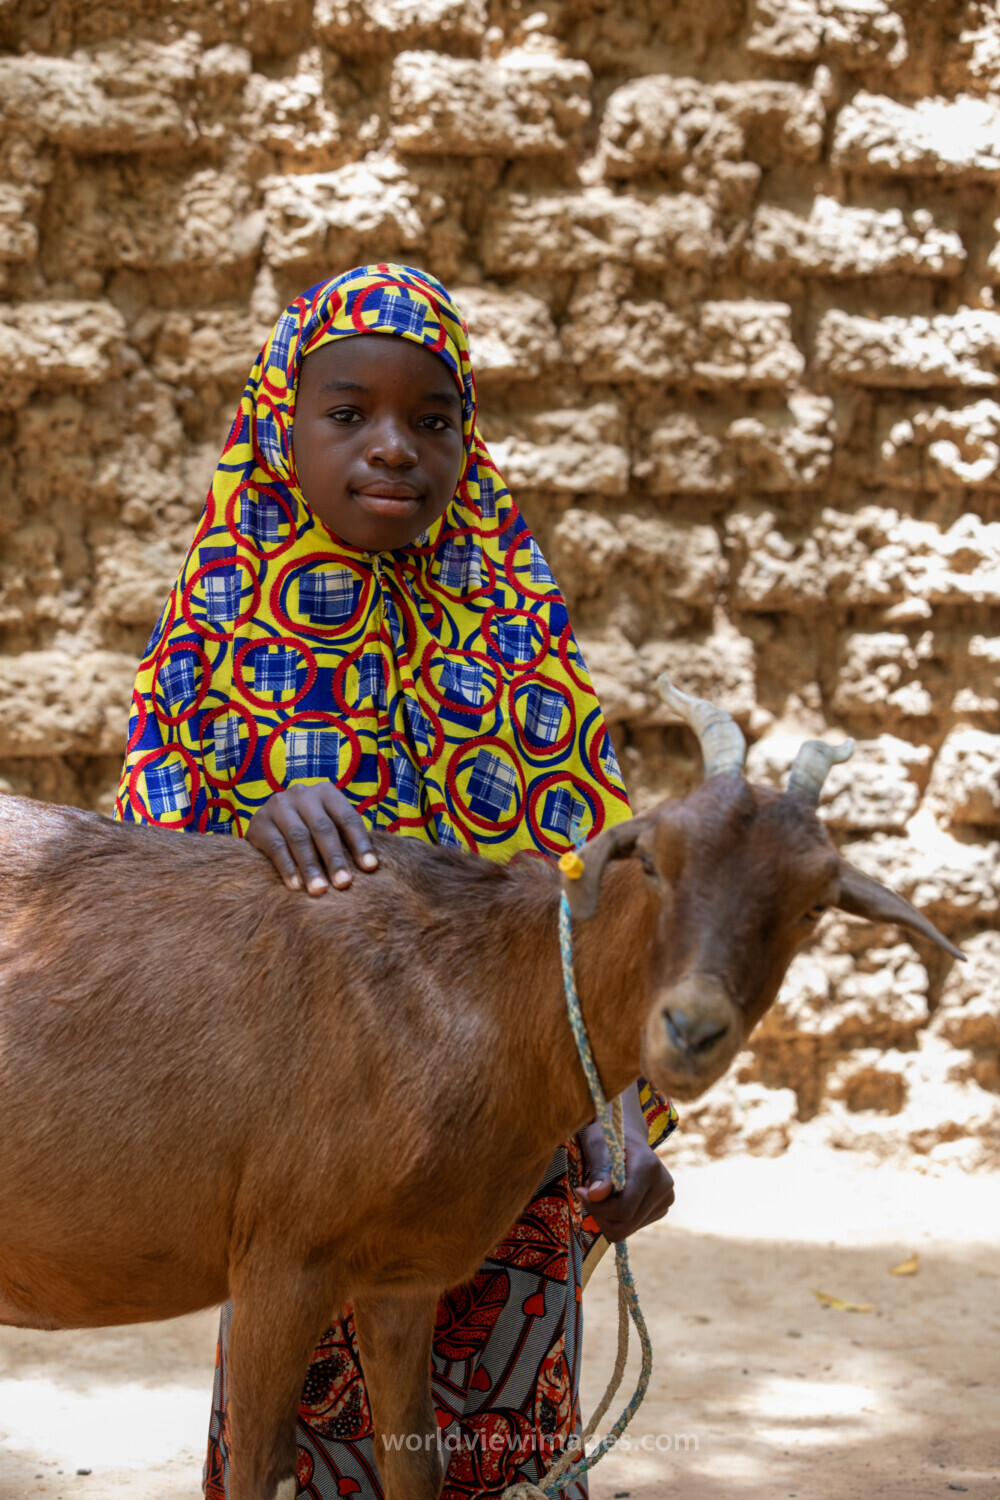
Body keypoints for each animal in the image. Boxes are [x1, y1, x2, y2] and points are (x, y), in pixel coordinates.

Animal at [0, 682, 960, 1500]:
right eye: (652, 859)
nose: (691, 1029)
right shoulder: (279, 1256)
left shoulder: (401, 1273)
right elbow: (257, 1473)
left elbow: (415, 1463)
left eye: (813, 904)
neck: (471, 992)